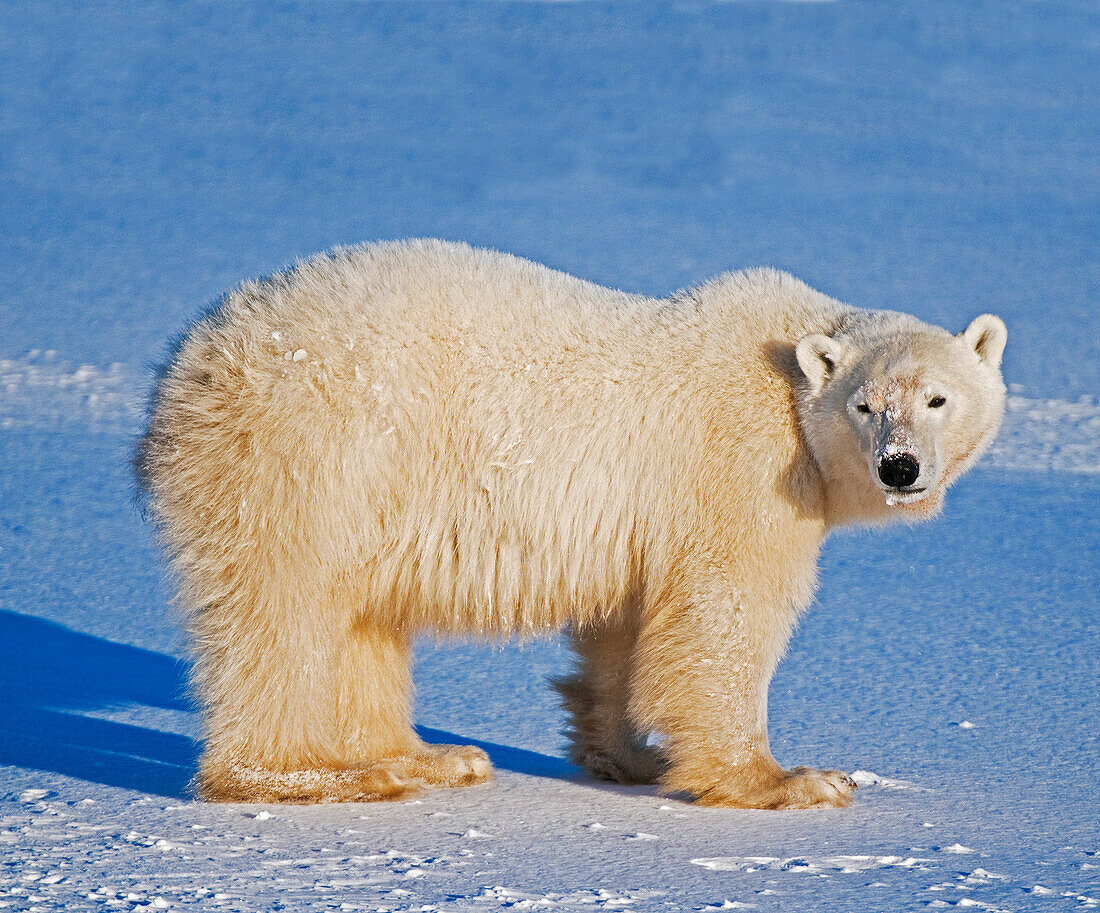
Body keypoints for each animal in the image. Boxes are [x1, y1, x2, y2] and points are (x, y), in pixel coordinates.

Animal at [137, 239, 1007, 809]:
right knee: (283, 614)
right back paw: (321, 773)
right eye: (865, 404)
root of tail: (187, 368)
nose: (900, 467)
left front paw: (625, 753)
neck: (788, 370)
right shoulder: (740, 467)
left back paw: (429, 756)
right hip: (307, 453)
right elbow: (725, 613)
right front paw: (789, 778)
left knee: (360, 618)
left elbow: (628, 625)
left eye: (938, 398)